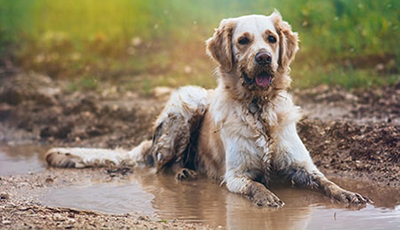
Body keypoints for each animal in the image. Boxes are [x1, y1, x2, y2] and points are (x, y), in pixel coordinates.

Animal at [47, 10, 372, 208]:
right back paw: (184, 172)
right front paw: (267, 197)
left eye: (271, 38)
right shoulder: (236, 176)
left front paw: (347, 194)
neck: (259, 109)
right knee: (161, 167)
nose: (264, 58)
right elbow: (257, 186)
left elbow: (327, 181)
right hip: (189, 101)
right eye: (243, 41)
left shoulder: (303, 167)